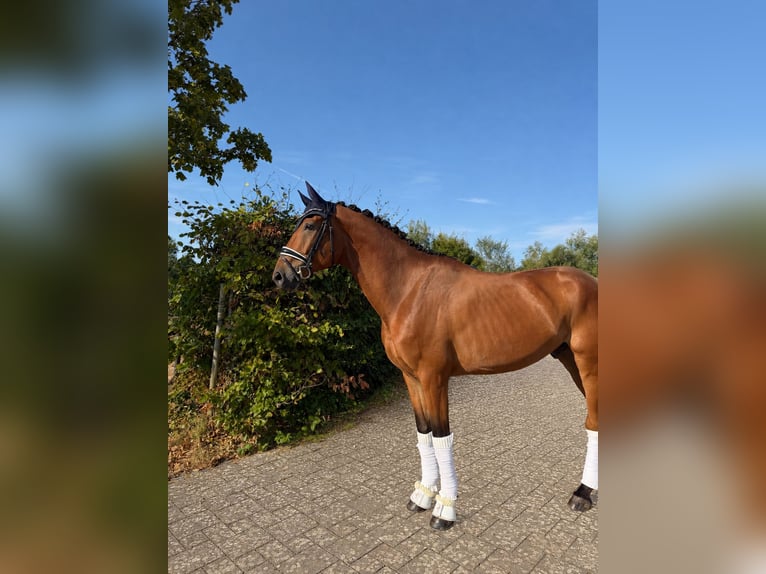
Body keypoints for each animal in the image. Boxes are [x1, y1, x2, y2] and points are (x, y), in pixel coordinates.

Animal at [272, 182, 599, 530]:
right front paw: (423, 496)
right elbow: (424, 434)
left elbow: (442, 437)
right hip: (570, 360)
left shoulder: (434, 378)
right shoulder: (411, 378)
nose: (279, 276)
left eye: (309, 226)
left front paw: (445, 509)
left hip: (588, 363)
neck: (409, 291)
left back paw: (582, 494)